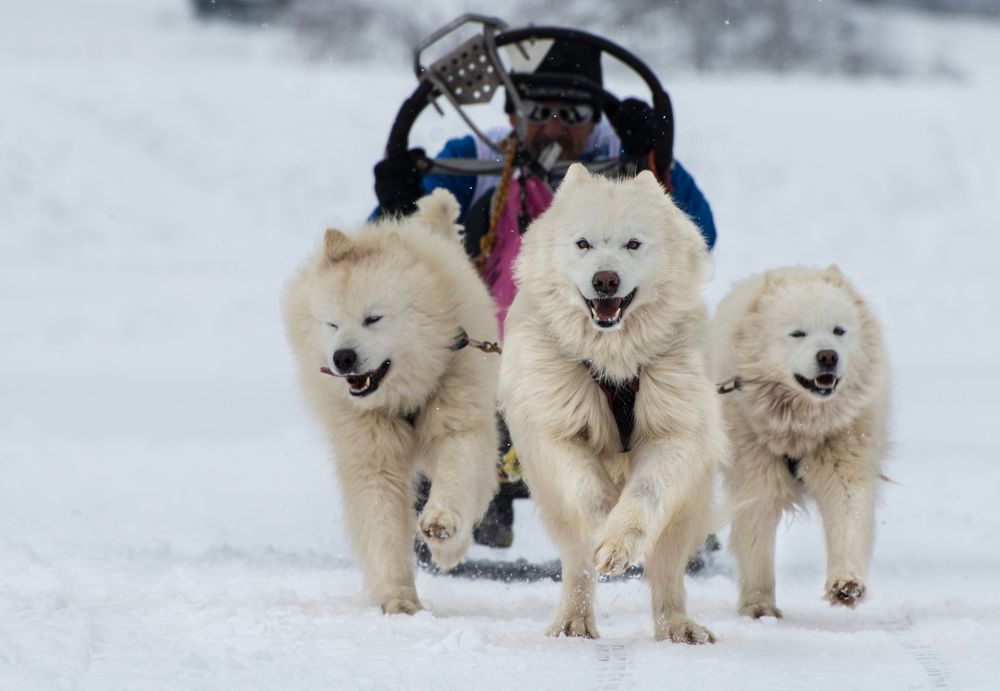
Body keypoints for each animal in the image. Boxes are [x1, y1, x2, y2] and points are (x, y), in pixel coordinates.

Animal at [282, 189, 500, 616]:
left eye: (373, 318)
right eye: (331, 324)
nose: (343, 358)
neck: (404, 397)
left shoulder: (460, 422)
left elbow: (457, 474)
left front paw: (442, 526)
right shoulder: (371, 452)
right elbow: (381, 523)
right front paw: (399, 601)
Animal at [500, 165, 728, 648]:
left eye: (633, 244)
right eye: (583, 244)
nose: (605, 279)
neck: (614, 361)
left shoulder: (674, 432)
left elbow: (646, 493)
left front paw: (619, 541)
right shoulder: (556, 430)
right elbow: (589, 494)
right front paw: (605, 526)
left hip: (687, 505)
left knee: (667, 572)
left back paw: (679, 627)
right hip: (556, 506)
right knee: (576, 566)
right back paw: (573, 623)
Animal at [712, 266, 892, 620]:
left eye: (839, 330)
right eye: (798, 333)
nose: (828, 356)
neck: (802, 427)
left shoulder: (845, 462)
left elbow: (849, 519)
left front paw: (846, 584)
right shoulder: (756, 476)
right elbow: (756, 542)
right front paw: (759, 607)